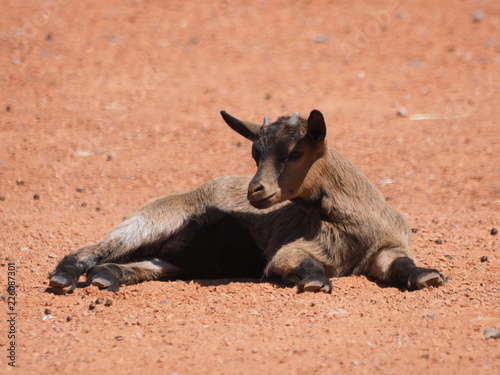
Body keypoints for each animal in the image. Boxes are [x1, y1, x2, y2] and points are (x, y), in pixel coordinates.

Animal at [48, 110, 444, 296]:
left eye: (296, 152)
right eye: (255, 154)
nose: (255, 190)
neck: (355, 225)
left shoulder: (388, 246)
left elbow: (401, 264)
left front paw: (427, 276)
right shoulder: (289, 250)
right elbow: (298, 264)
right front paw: (315, 283)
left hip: (170, 260)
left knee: (130, 264)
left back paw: (104, 278)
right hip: (155, 218)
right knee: (91, 249)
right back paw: (64, 277)